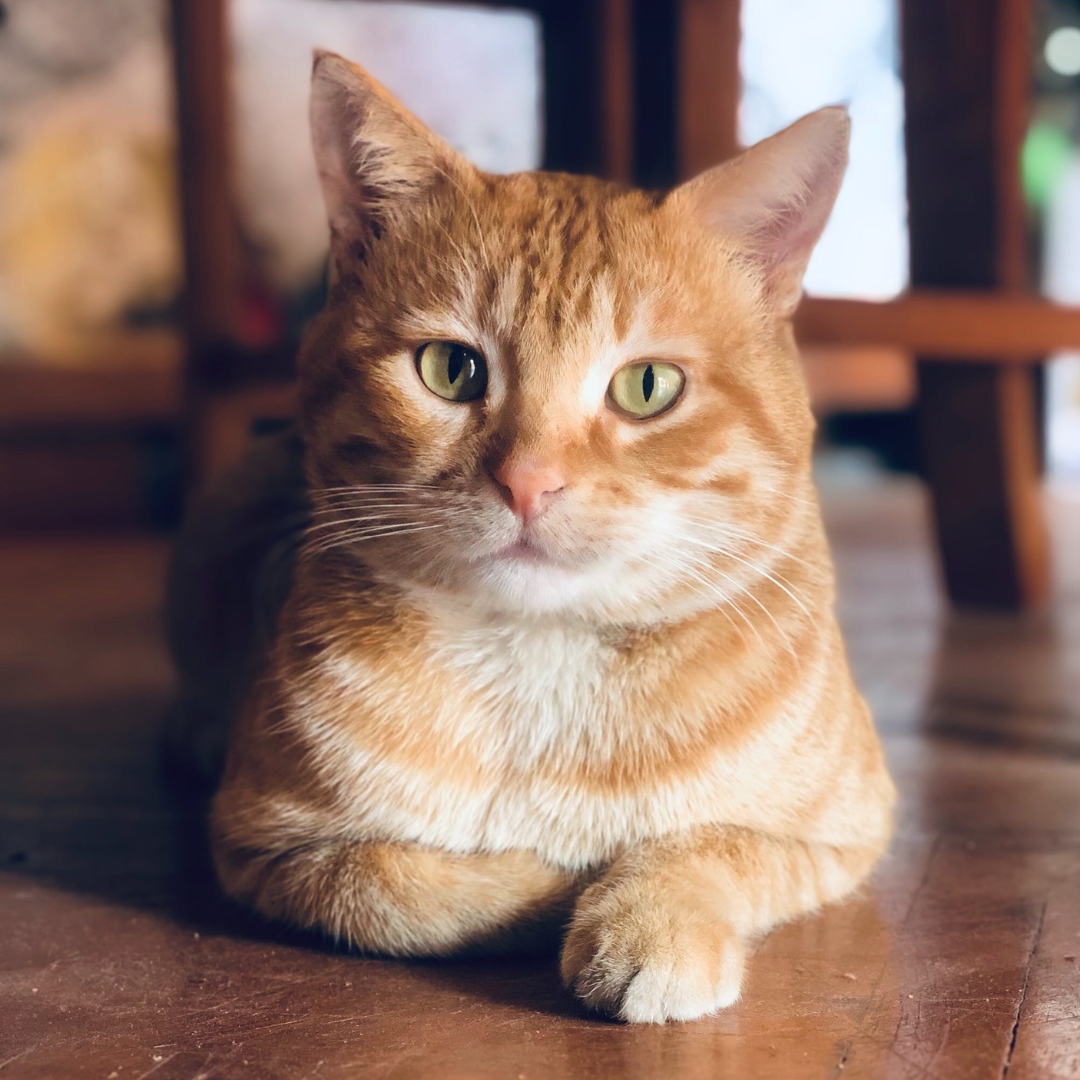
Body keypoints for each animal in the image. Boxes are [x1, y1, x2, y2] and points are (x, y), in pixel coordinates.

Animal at [168, 54, 894, 1023]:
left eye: (648, 386)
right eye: (451, 368)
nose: (527, 482)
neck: (540, 658)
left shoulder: (847, 829)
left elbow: (714, 844)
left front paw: (646, 914)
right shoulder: (261, 843)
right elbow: (387, 885)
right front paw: (547, 890)